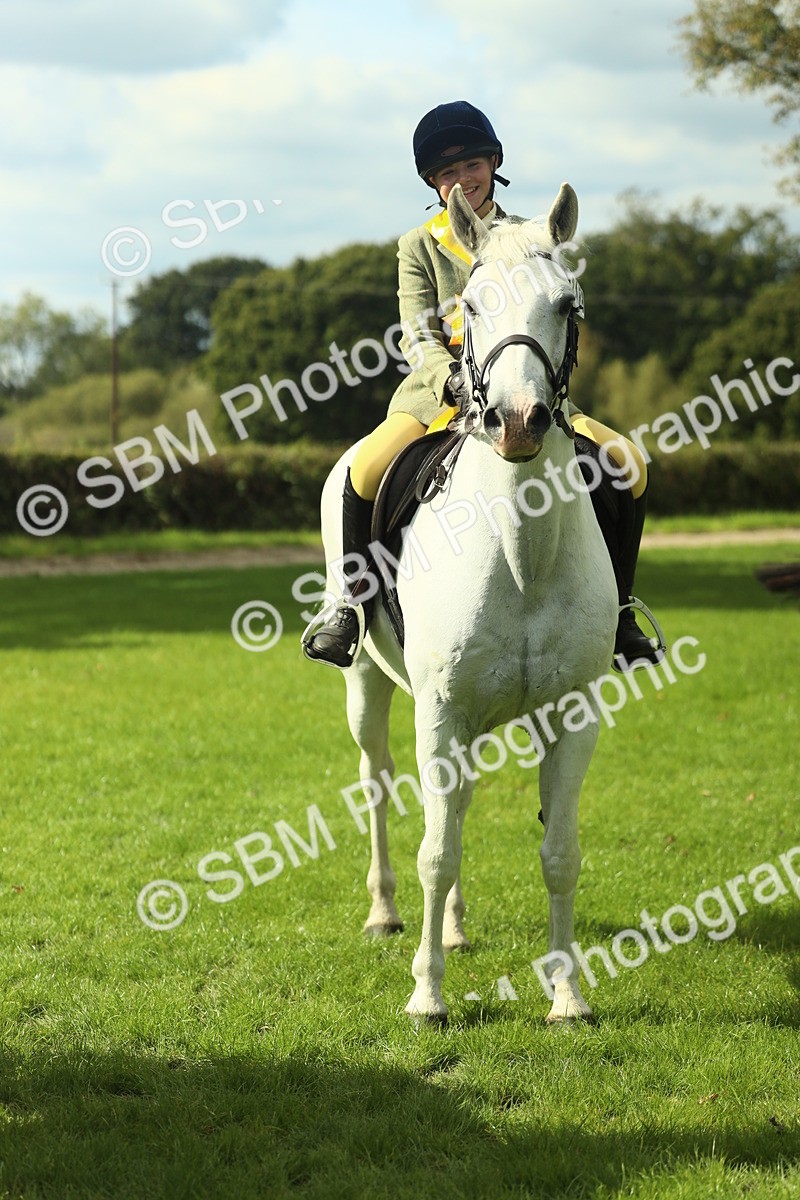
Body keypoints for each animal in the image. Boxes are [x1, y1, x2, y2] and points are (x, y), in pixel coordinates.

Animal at [311, 181, 618, 1024]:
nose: (515, 422)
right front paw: (426, 997)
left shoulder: (573, 715)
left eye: (568, 304)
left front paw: (567, 995)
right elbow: (436, 850)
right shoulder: (440, 708)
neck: (520, 552)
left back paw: (450, 929)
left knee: (459, 801)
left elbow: (561, 853)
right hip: (371, 687)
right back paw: (386, 914)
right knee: (380, 785)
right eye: (470, 306)